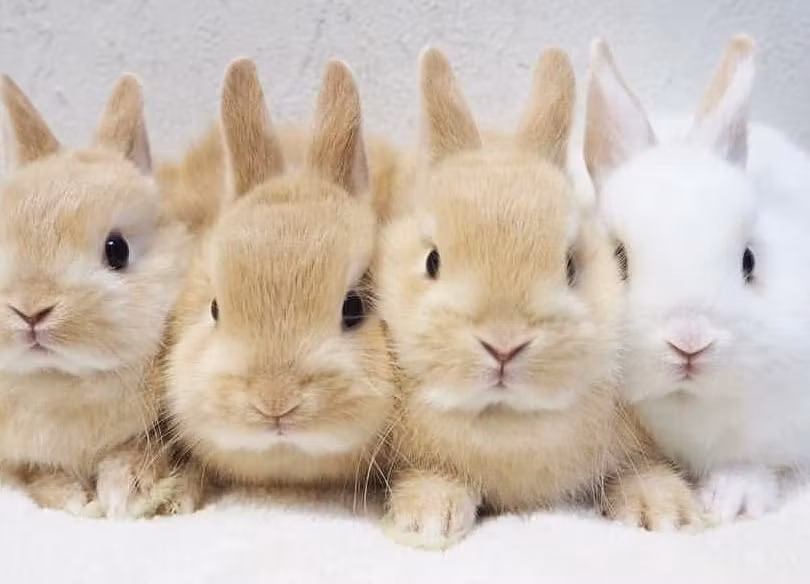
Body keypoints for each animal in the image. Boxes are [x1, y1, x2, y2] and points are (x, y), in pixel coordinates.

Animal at [0, 74, 191, 517]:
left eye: (117, 250)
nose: (30, 309)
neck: (63, 383)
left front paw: (123, 494)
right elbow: (40, 476)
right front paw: (73, 501)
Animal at [376, 47, 701, 551]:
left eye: (570, 265)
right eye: (432, 261)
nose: (504, 344)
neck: (508, 423)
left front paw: (665, 512)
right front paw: (428, 519)